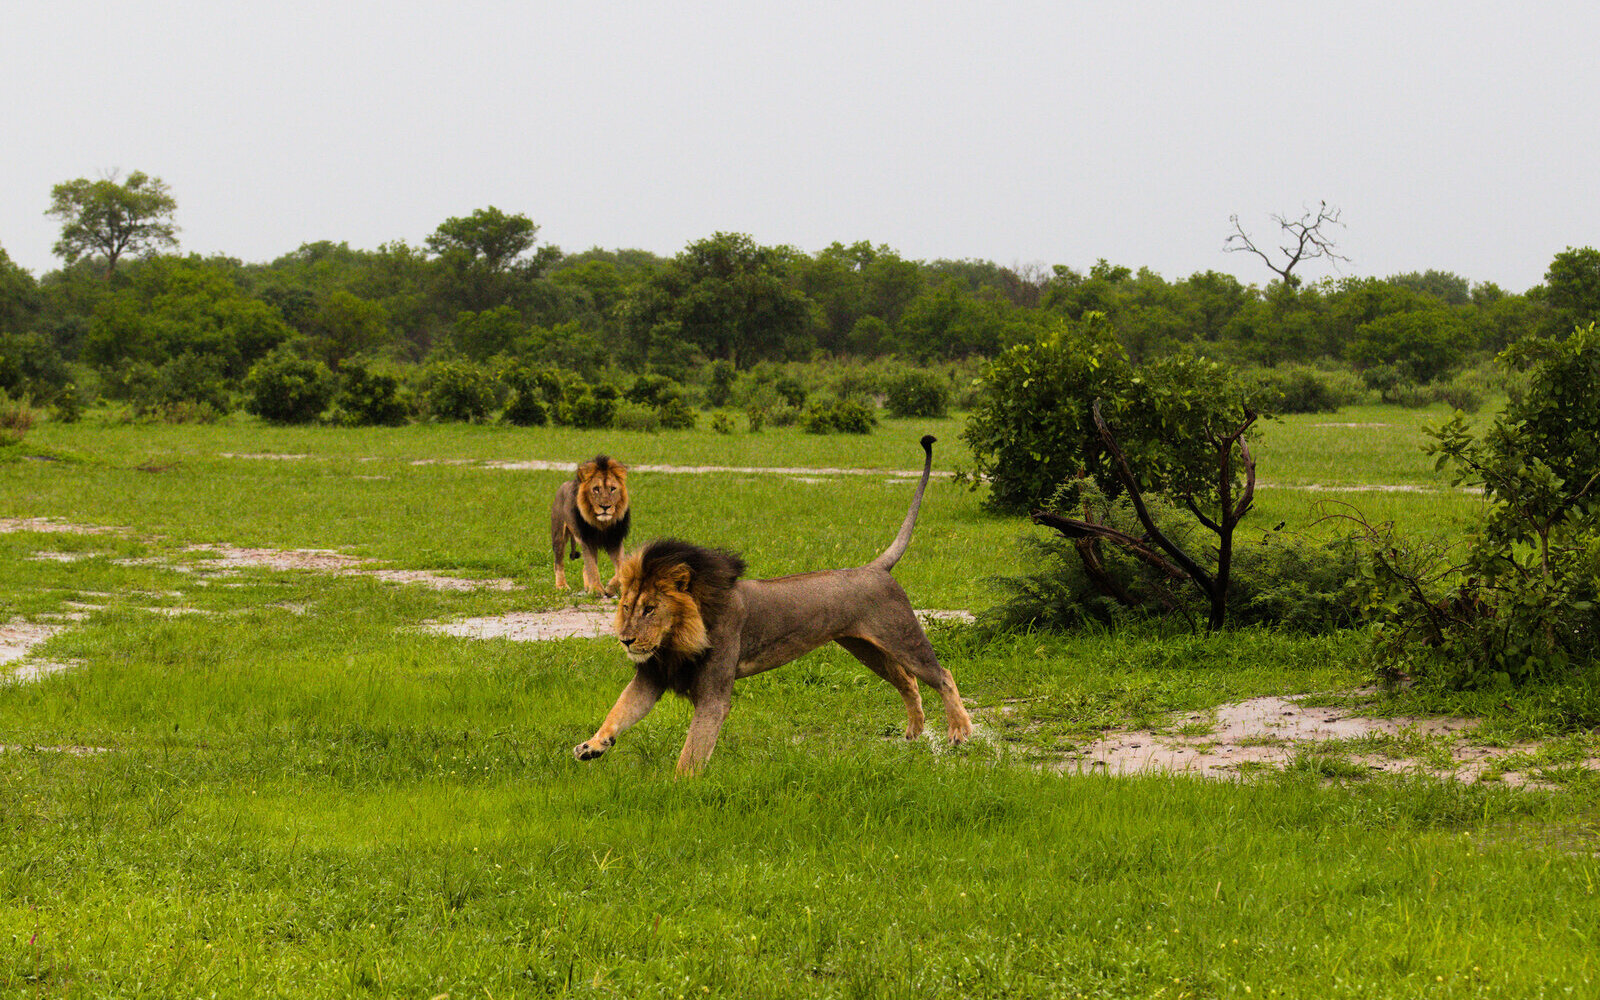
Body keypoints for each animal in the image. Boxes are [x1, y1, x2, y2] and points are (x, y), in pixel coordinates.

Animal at [550, 455, 630, 595]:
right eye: (596, 489)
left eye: (612, 489)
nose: (605, 507)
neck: (602, 524)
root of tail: (564, 485)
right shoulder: (587, 540)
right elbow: (592, 567)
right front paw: (597, 589)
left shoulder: (614, 540)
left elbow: (622, 566)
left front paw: (610, 587)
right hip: (559, 535)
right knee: (558, 563)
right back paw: (562, 586)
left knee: (584, 567)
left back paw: (587, 586)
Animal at [574, 435, 972, 774]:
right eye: (627, 607)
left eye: (651, 609)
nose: (625, 640)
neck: (677, 638)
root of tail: (874, 567)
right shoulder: (652, 675)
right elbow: (619, 710)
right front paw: (593, 746)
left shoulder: (714, 693)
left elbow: (693, 749)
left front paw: (678, 789)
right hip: (865, 648)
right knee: (908, 681)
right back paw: (914, 730)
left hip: (901, 636)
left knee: (942, 674)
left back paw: (959, 731)